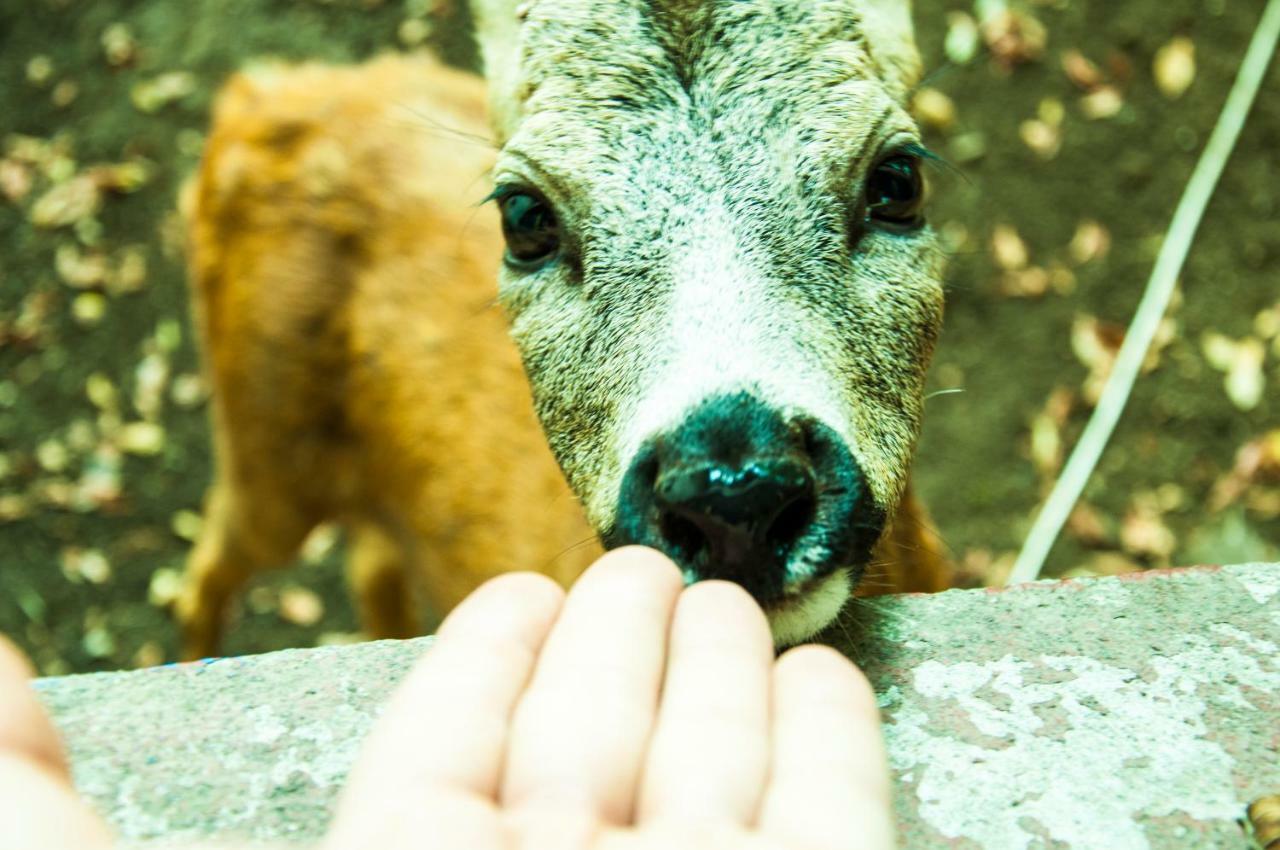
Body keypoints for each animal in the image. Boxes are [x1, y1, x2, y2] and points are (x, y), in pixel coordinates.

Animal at [175, 0, 952, 660]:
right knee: (210, 559)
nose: (734, 492)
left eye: (898, 180)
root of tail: (257, 95)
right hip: (265, 435)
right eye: (523, 216)